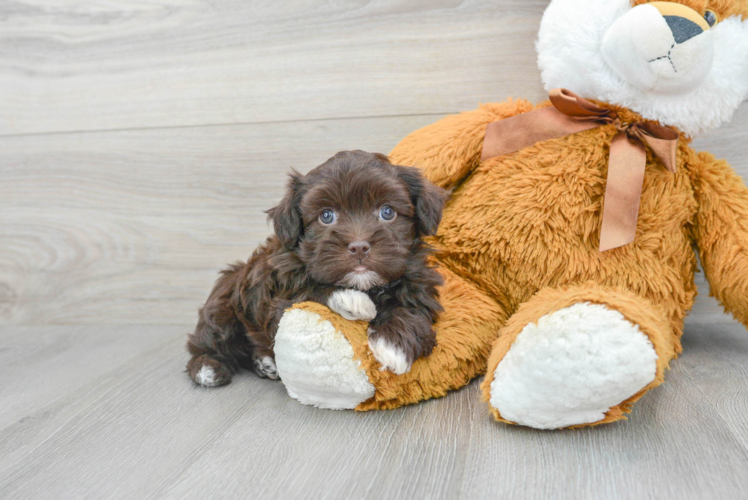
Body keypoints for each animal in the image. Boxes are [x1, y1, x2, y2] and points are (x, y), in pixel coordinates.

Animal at [186, 150, 448, 388]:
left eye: (387, 212)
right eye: (327, 216)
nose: (359, 247)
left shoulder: (420, 284)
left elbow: (412, 309)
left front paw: (394, 344)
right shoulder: (279, 300)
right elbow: (308, 293)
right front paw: (351, 300)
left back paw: (265, 363)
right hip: (223, 308)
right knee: (207, 342)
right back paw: (208, 368)